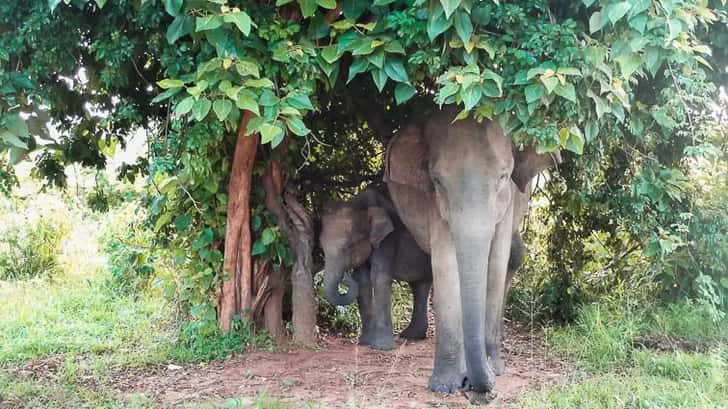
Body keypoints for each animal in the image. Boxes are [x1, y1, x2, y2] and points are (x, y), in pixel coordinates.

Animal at [320, 185, 432, 348]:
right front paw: (364, 343)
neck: (360, 205)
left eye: (348, 247)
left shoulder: (387, 241)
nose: (345, 275)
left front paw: (382, 347)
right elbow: (362, 280)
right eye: (321, 247)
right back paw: (411, 336)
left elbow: (379, 278)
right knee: (420, 286)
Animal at [384, 107, 560, 392]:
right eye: (437, 181)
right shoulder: (435, 204)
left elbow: (497, 264)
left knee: (514, 257)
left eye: (503, 177)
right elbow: (445, 266)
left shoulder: (509, 200)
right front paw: (444, 386)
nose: (475, 385)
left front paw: (493, 371)